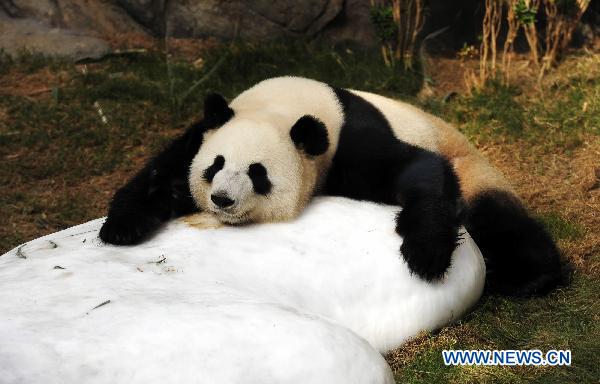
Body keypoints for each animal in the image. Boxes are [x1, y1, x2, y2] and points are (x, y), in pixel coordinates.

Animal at [101, 76, 564, 296]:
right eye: (215, 167)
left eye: (257, 173)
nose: (222, 199)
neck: (285, 105)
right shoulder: (206, 130)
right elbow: (163, 173)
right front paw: (120, 228)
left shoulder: (348, 141)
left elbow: (418, 170)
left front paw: (424, 254)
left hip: (470, 167)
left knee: (498, 218)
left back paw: (528, 278)